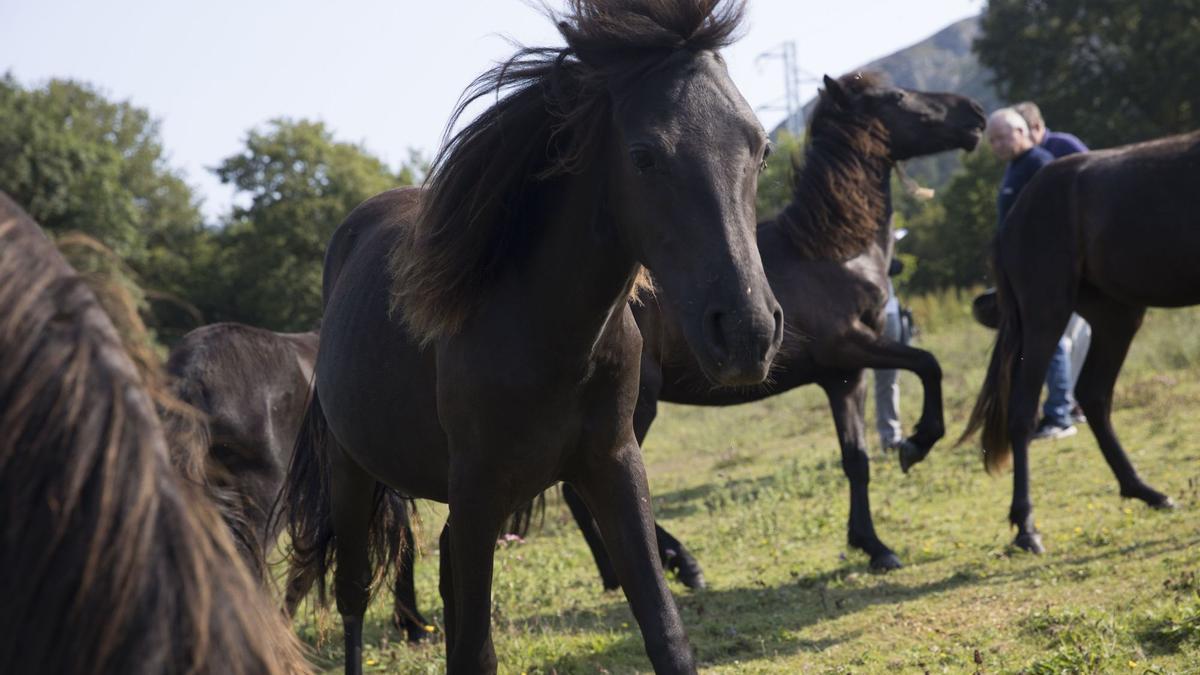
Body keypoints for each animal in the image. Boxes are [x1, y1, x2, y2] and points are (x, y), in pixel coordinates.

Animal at [276, 2, 782, 667]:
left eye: (762, 148)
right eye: (644, 155)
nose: (748, 332)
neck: (548, 335)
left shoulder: (613, 465)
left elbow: (665, 630)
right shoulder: (477, 490)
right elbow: (473, 650)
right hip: (353, 472)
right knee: (354, 595)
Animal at [552, 72, 984, 578]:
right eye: (897, 97)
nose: (975, 113)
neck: (829, 251)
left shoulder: (845, 377)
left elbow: (855, 459)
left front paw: (873, 545)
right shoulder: (851, 345)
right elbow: (929, 363)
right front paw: (916, 444)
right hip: (638, 403)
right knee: (588, 490)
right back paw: (682, 563)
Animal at [960, 127, 1200, 552]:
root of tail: (1012, 220)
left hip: (1116, 315)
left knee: (1093, 394)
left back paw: (1146, 491)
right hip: (1046, 314)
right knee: (1023, 411)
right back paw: (1026, 528)